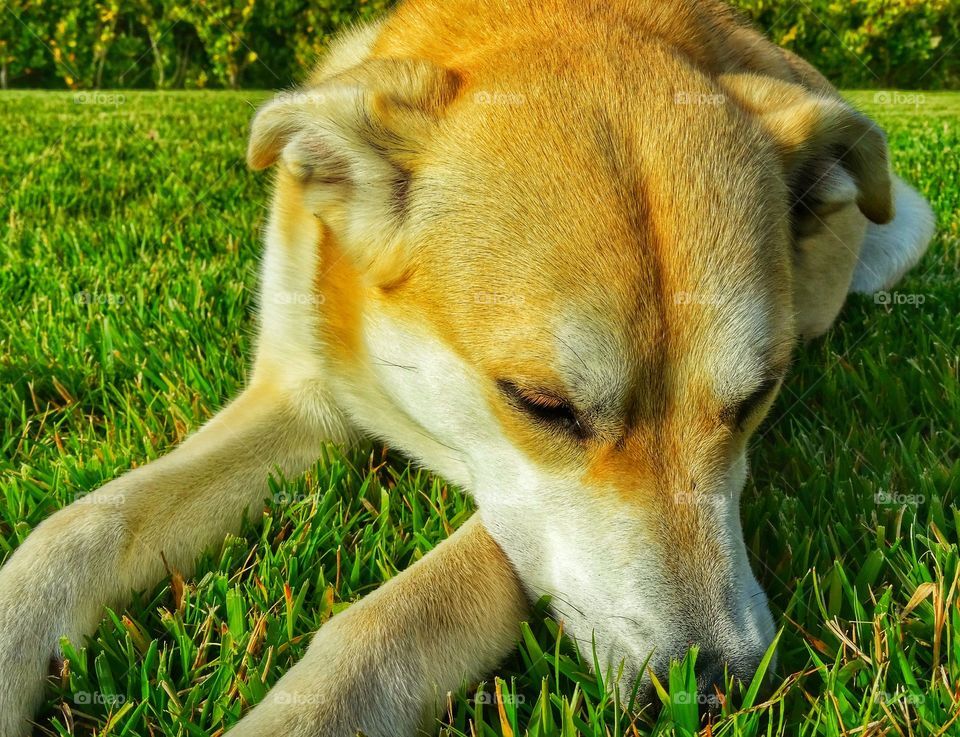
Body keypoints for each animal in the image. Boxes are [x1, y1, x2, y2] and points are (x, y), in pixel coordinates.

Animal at [0, 0, 928, 732]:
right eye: (541, 403)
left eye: (758, 396)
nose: (715, 690)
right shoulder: (299, 394)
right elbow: (85, 523)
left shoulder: (510, 510)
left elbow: (397, 618)